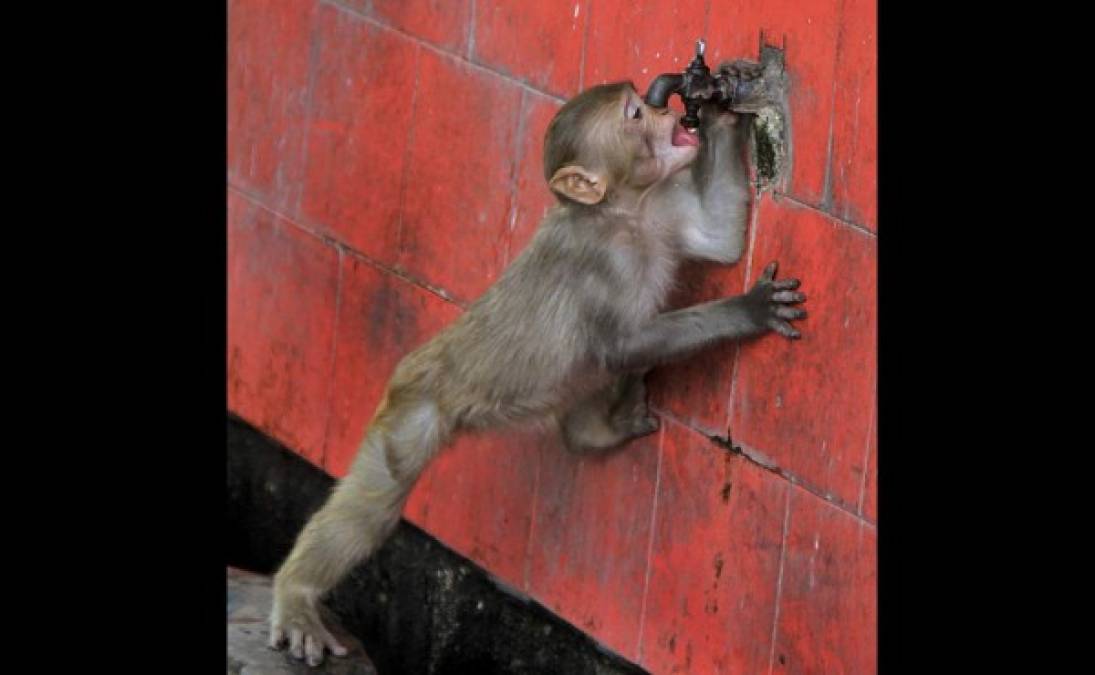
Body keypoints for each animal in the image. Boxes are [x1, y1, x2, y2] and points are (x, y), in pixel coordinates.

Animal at [269, 63, 810, 666]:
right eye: (634, 115)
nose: (664, 105)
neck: (623, 213)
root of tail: (412, 367)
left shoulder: (663, 208)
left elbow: (718, 240)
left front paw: (723, 105)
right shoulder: (604, 263)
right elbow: (624, 344)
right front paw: (750, 310)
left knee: (581, 371)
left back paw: (593, 431)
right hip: (413, 417)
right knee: (371, 507)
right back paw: (297, 594)